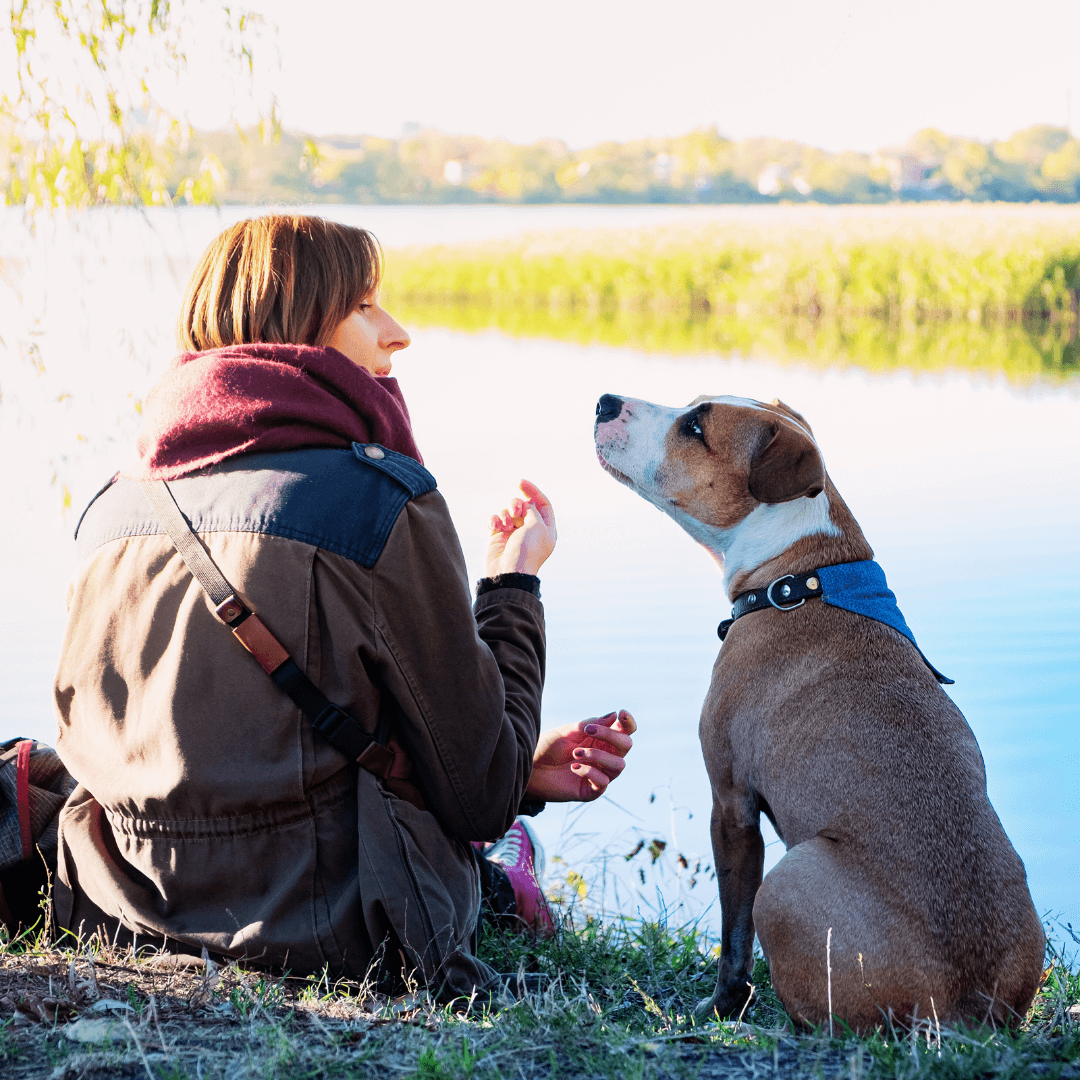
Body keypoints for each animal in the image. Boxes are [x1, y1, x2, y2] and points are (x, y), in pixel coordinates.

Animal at [596, 395, 1041, 1028]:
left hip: (788, 879)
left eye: (696, 426)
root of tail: (965, 1009)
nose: (605, 401)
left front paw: (721, 1009)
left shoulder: (732, 804)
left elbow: (733, 939)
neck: (798, 578)